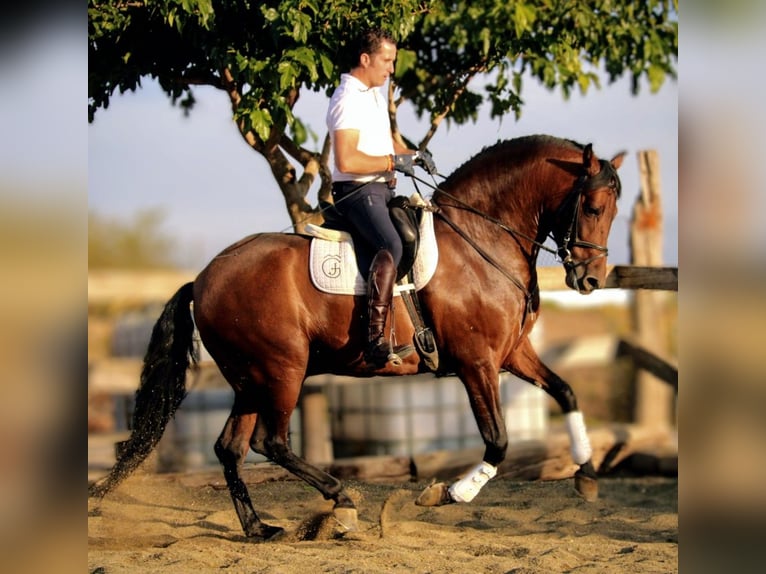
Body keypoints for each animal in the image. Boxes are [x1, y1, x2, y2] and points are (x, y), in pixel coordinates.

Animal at [89, 134, 625, 541]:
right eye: (594, 206)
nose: (590, 280)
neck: (480, 240)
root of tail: (202, 279)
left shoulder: (512, 352)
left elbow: (566, 391)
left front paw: (587, 475)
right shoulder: (478, 363)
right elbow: (498, 442)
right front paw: (445, 493)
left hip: (249, 379)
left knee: (230, 448)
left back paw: (260, 529)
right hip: (282, 369)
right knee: (270, 440)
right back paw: (341, 501)